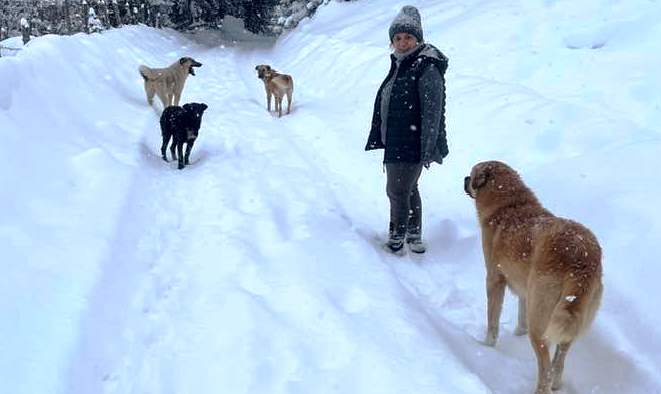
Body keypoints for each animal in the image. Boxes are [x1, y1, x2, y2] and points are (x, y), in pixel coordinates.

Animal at [464, 160, 604, 394]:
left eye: (472, 174)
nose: (465, 179)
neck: (509, 205)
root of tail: (581, 257)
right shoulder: (524, 288)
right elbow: (521, 313)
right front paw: (518, 333)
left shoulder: (494, 279)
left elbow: (492, 321)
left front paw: (487, 346)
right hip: (569, 318)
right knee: (560, 359)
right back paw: (557, 383)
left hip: (540, 321)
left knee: (545, 366)